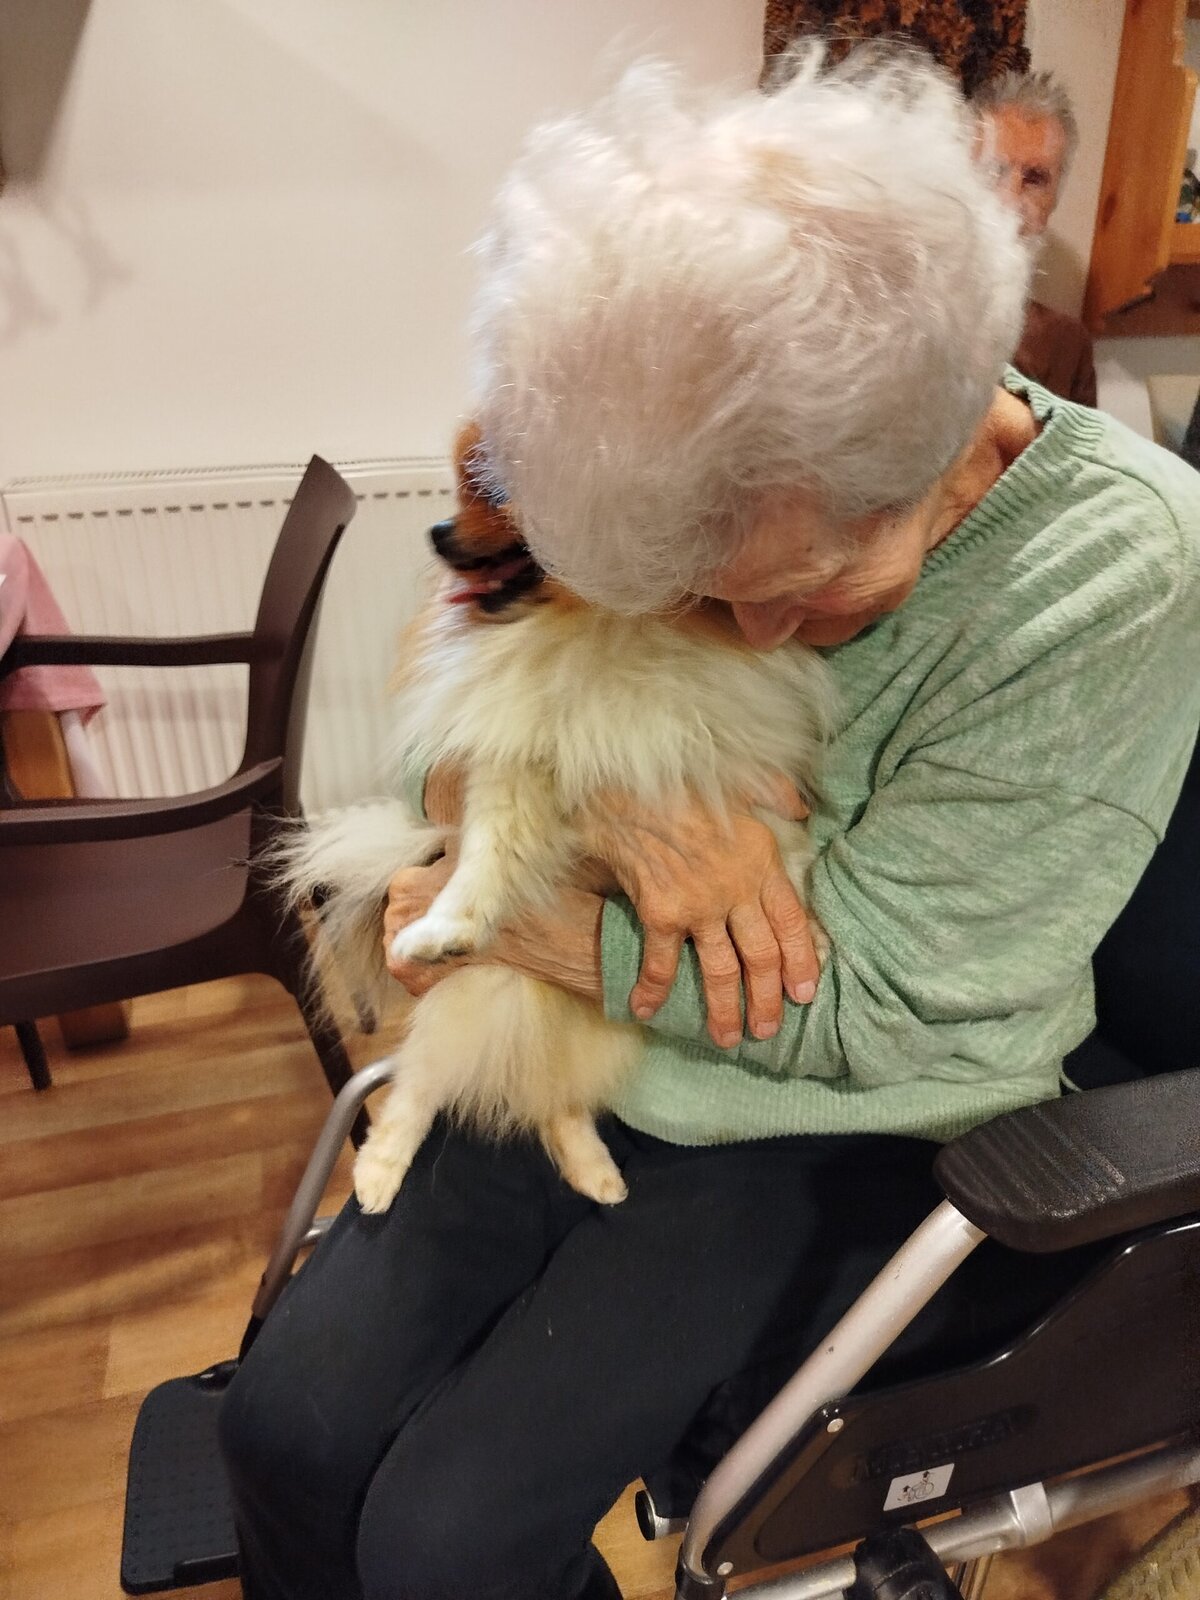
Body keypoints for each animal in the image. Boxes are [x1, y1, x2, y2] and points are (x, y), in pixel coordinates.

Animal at [277, 423, 835, 1213]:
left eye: (502, 491)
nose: (437, 531)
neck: (600, 634)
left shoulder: (734, 768)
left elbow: (775, 858)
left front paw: (800, 935)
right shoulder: (512, 762)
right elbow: (485, 859)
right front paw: (444, 927)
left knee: (553, 1097)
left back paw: (595, 1174)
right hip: (485, 992)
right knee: (421, 1084)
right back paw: (380, 1173)